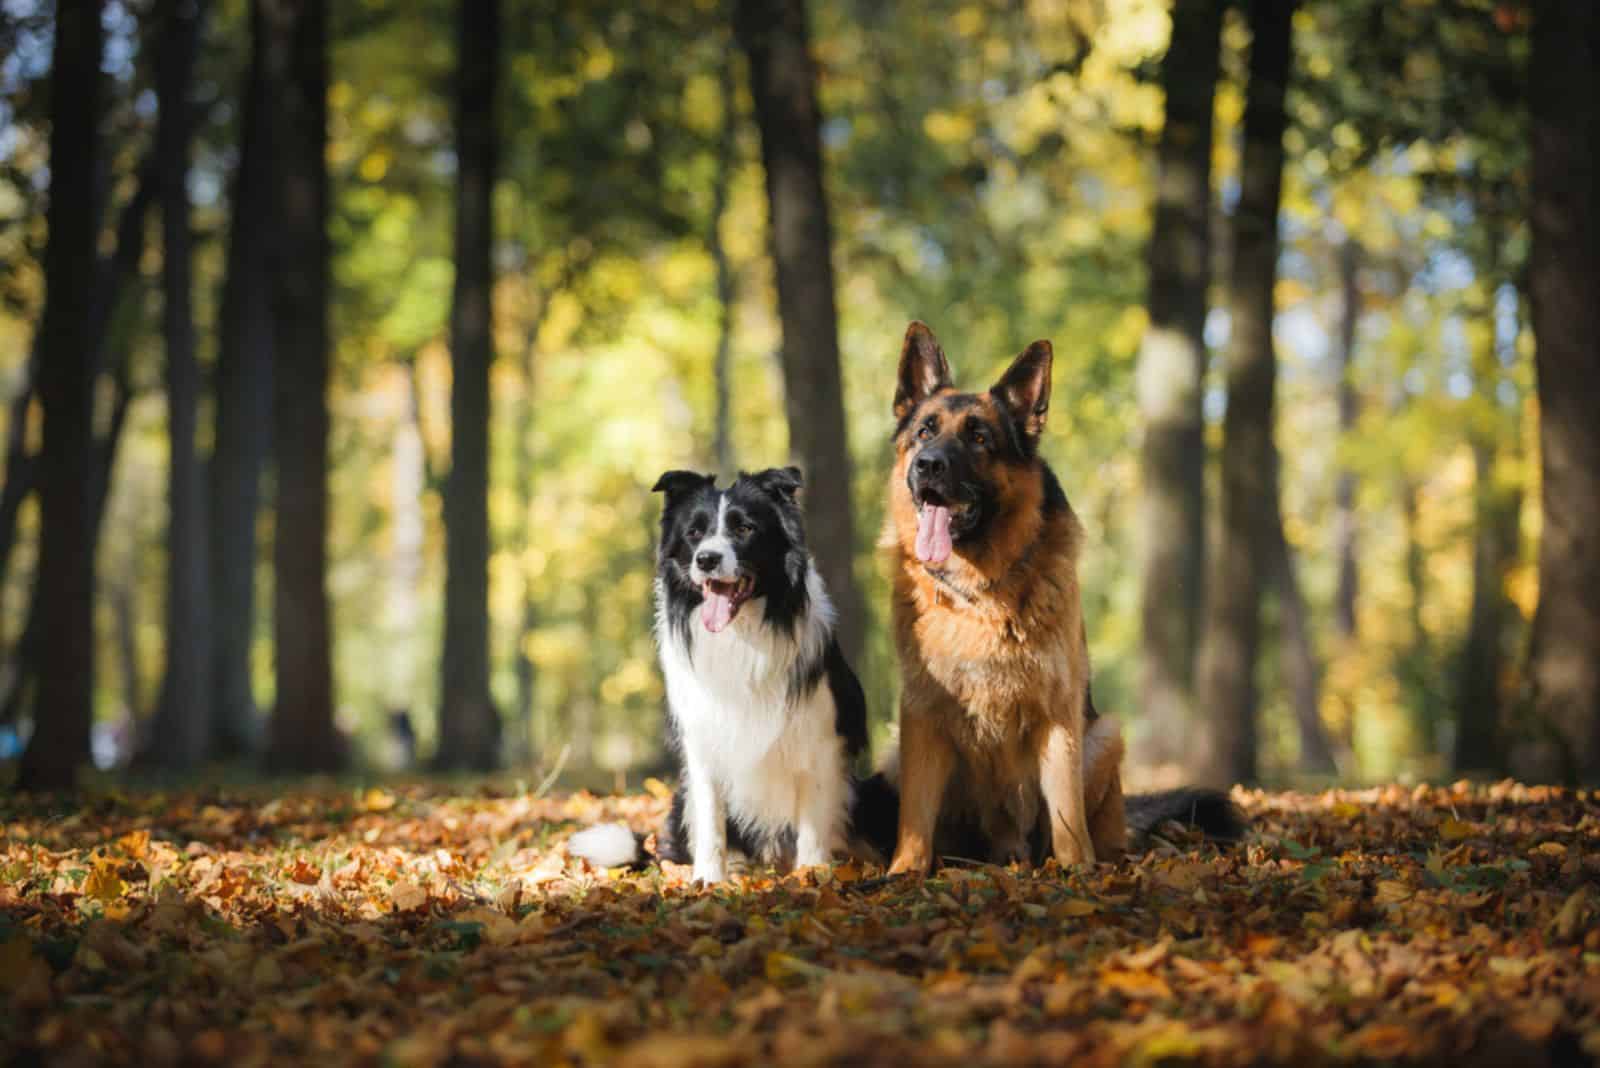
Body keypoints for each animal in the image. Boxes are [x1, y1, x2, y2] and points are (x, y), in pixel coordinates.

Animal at [566, 466, 889, 882]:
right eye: (694, 532)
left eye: (745, 528)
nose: (706, 559)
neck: (742, 634)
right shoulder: (703, 743)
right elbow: (710, 822)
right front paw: (707, 881)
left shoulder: (821, 742)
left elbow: (813, 825)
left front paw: (811, 875)